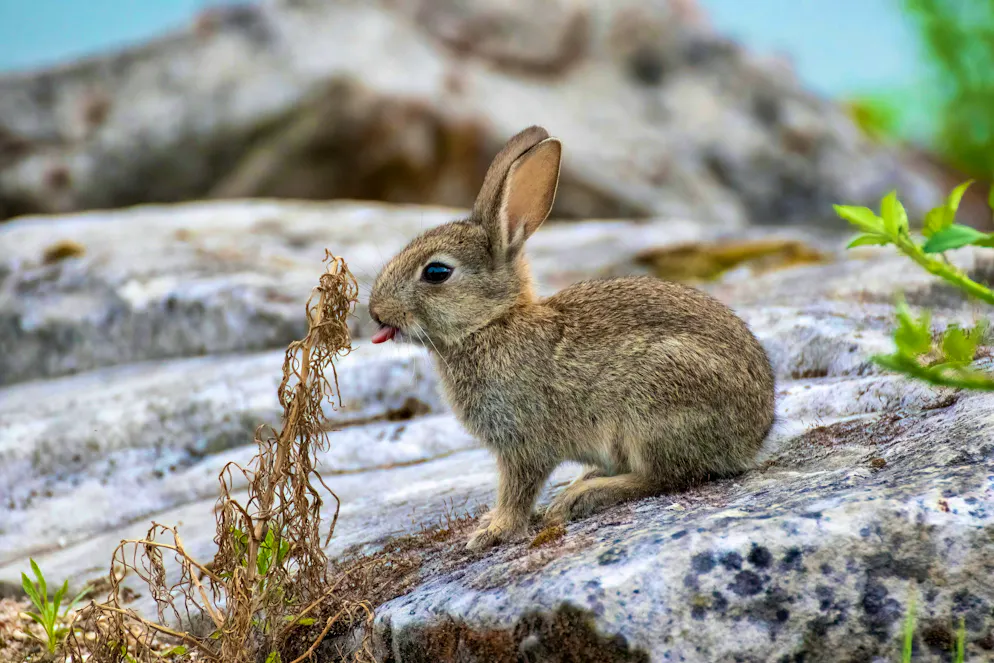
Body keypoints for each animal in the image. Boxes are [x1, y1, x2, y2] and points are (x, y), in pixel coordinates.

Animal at [368, 125, 776, 551]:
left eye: (436, 272)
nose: (375, 311)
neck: (492, 323)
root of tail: (753, 437)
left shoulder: (523, 442)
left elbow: (517, 489)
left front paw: (493, 531)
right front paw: (490, 524)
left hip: (654, 405)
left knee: (666, 476)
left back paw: (582, 496)